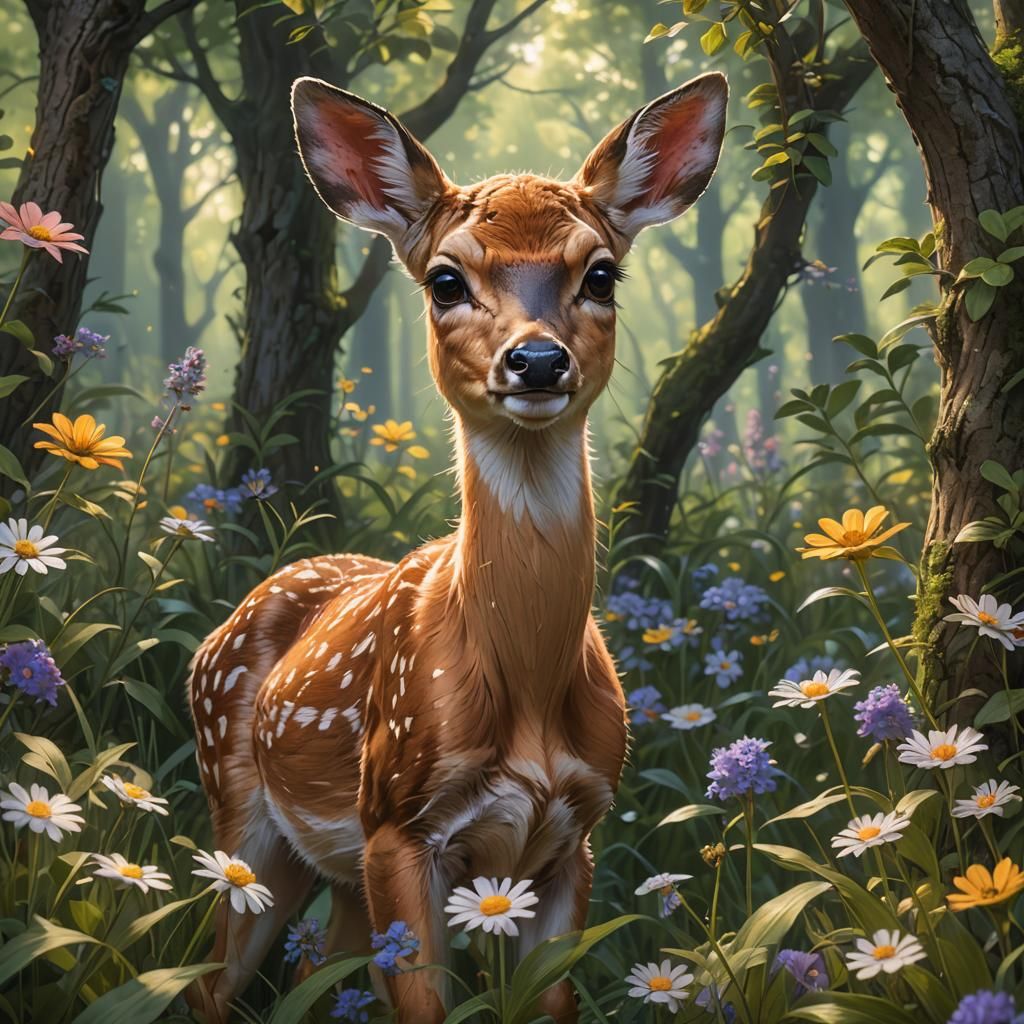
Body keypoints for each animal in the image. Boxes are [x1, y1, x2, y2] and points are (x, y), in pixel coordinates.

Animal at [185, 70, 727, 1023]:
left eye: (601, 274)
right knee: (211, 986)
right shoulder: (402, 823)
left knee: (311, 978)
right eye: (445, 280)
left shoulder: (573, 836)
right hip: (247, 814)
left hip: (338, 874)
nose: (537, 361)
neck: (528, 692)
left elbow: (549, 1002)